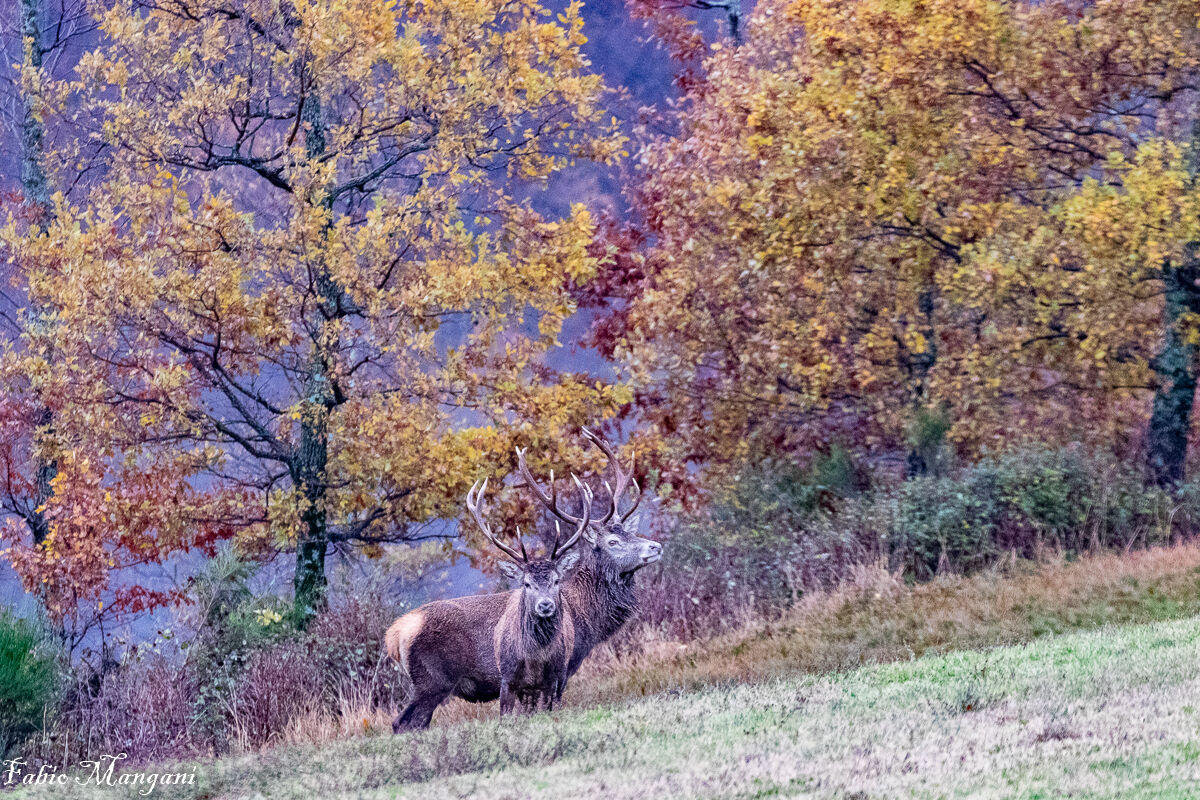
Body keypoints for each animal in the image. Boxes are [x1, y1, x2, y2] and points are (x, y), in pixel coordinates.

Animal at [385, 430, 662, 731]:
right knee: (401, 722)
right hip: (431, 680)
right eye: (613, 542)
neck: (586, 619)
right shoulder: (563, 669)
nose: (656, 546)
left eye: (629, 533)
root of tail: (395, 634)